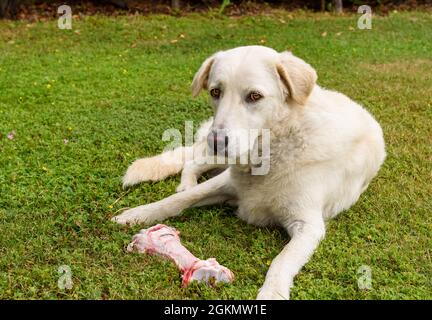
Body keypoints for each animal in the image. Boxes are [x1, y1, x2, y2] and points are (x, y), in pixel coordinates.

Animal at [111, 45, 384, 300]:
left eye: (254, 96)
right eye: (215, 92)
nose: (217, 141)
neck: (273, 153)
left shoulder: (308, 225)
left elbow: (282, 260)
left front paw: (272, 292)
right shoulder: (228, 183)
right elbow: (178, 200)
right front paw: (137, 214)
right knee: (192, 163)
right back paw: (186, 182)